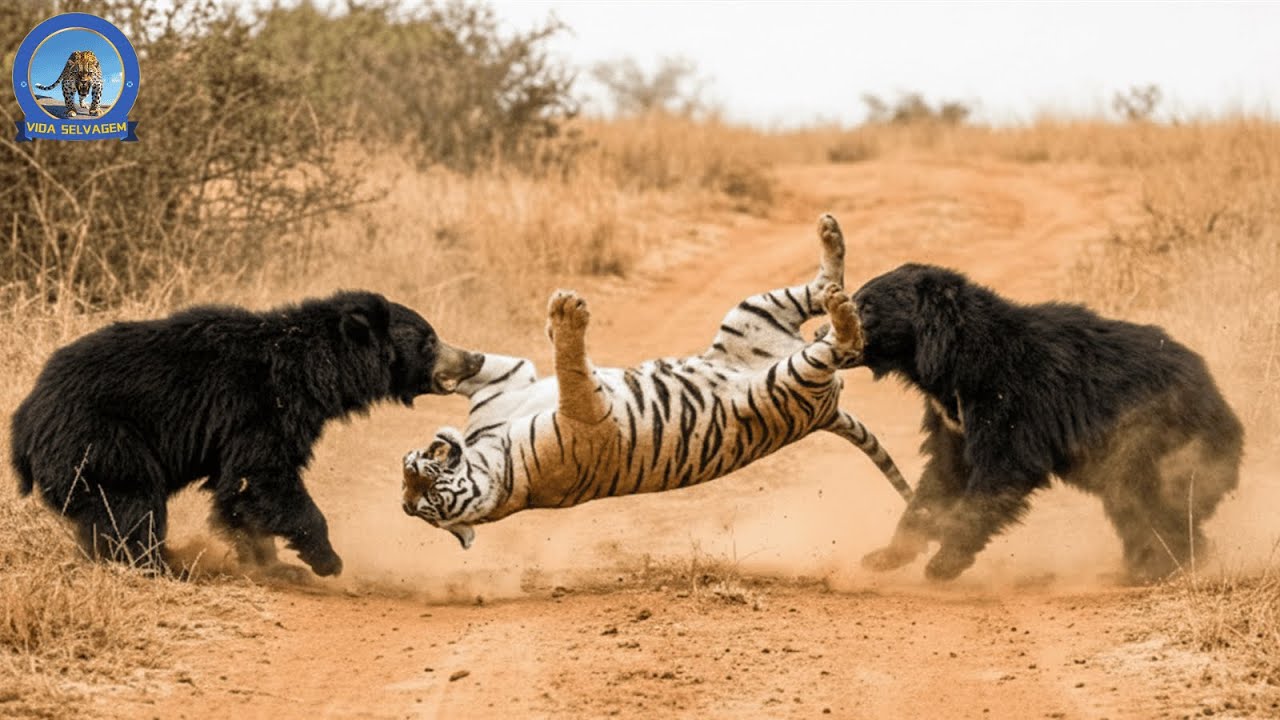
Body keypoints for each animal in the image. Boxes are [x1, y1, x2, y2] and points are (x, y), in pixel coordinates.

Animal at [400, 214, 911, 549]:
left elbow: (487, 363)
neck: (488, 452)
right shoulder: (587, 412)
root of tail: (828, 411)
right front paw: (566, 315)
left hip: (751, 310)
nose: (411, 474)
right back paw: (843, 310)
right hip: (787, 379)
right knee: (840, 344)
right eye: (425, 500)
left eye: (419, 478)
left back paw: (831, 240)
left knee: (823, 284)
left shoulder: (512, 376)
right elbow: (571, 367)